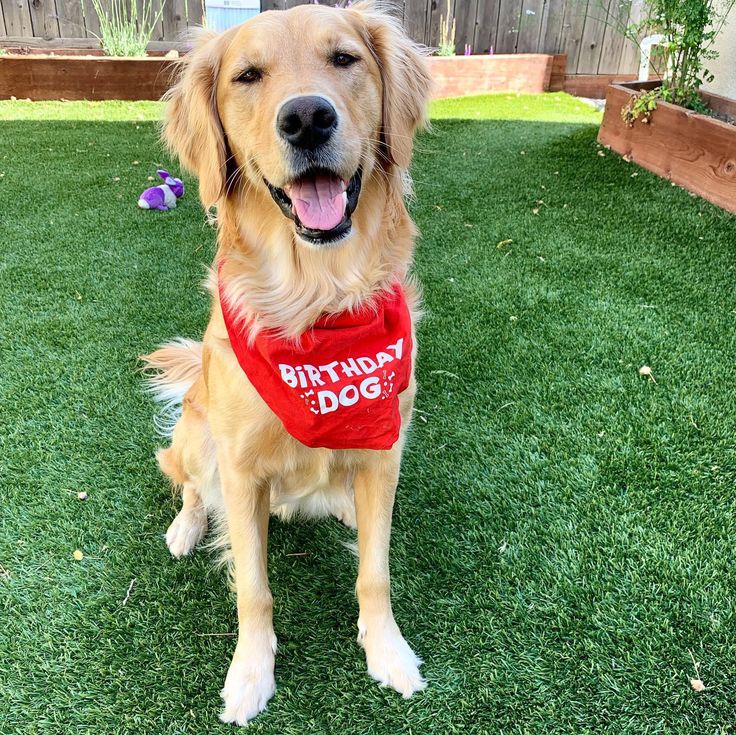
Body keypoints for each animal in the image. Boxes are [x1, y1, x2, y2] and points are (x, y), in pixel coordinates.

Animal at [142, 0, 434, 724]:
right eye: (247, 76)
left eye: (345, 59)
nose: (306, 118)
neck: (317, 299)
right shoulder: (241, 468)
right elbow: (254, 589)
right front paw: (250, 674)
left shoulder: (385, 452)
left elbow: (375, 572)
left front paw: (387, 650)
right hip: (196, 435)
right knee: (188, 482)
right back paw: (186, 526)